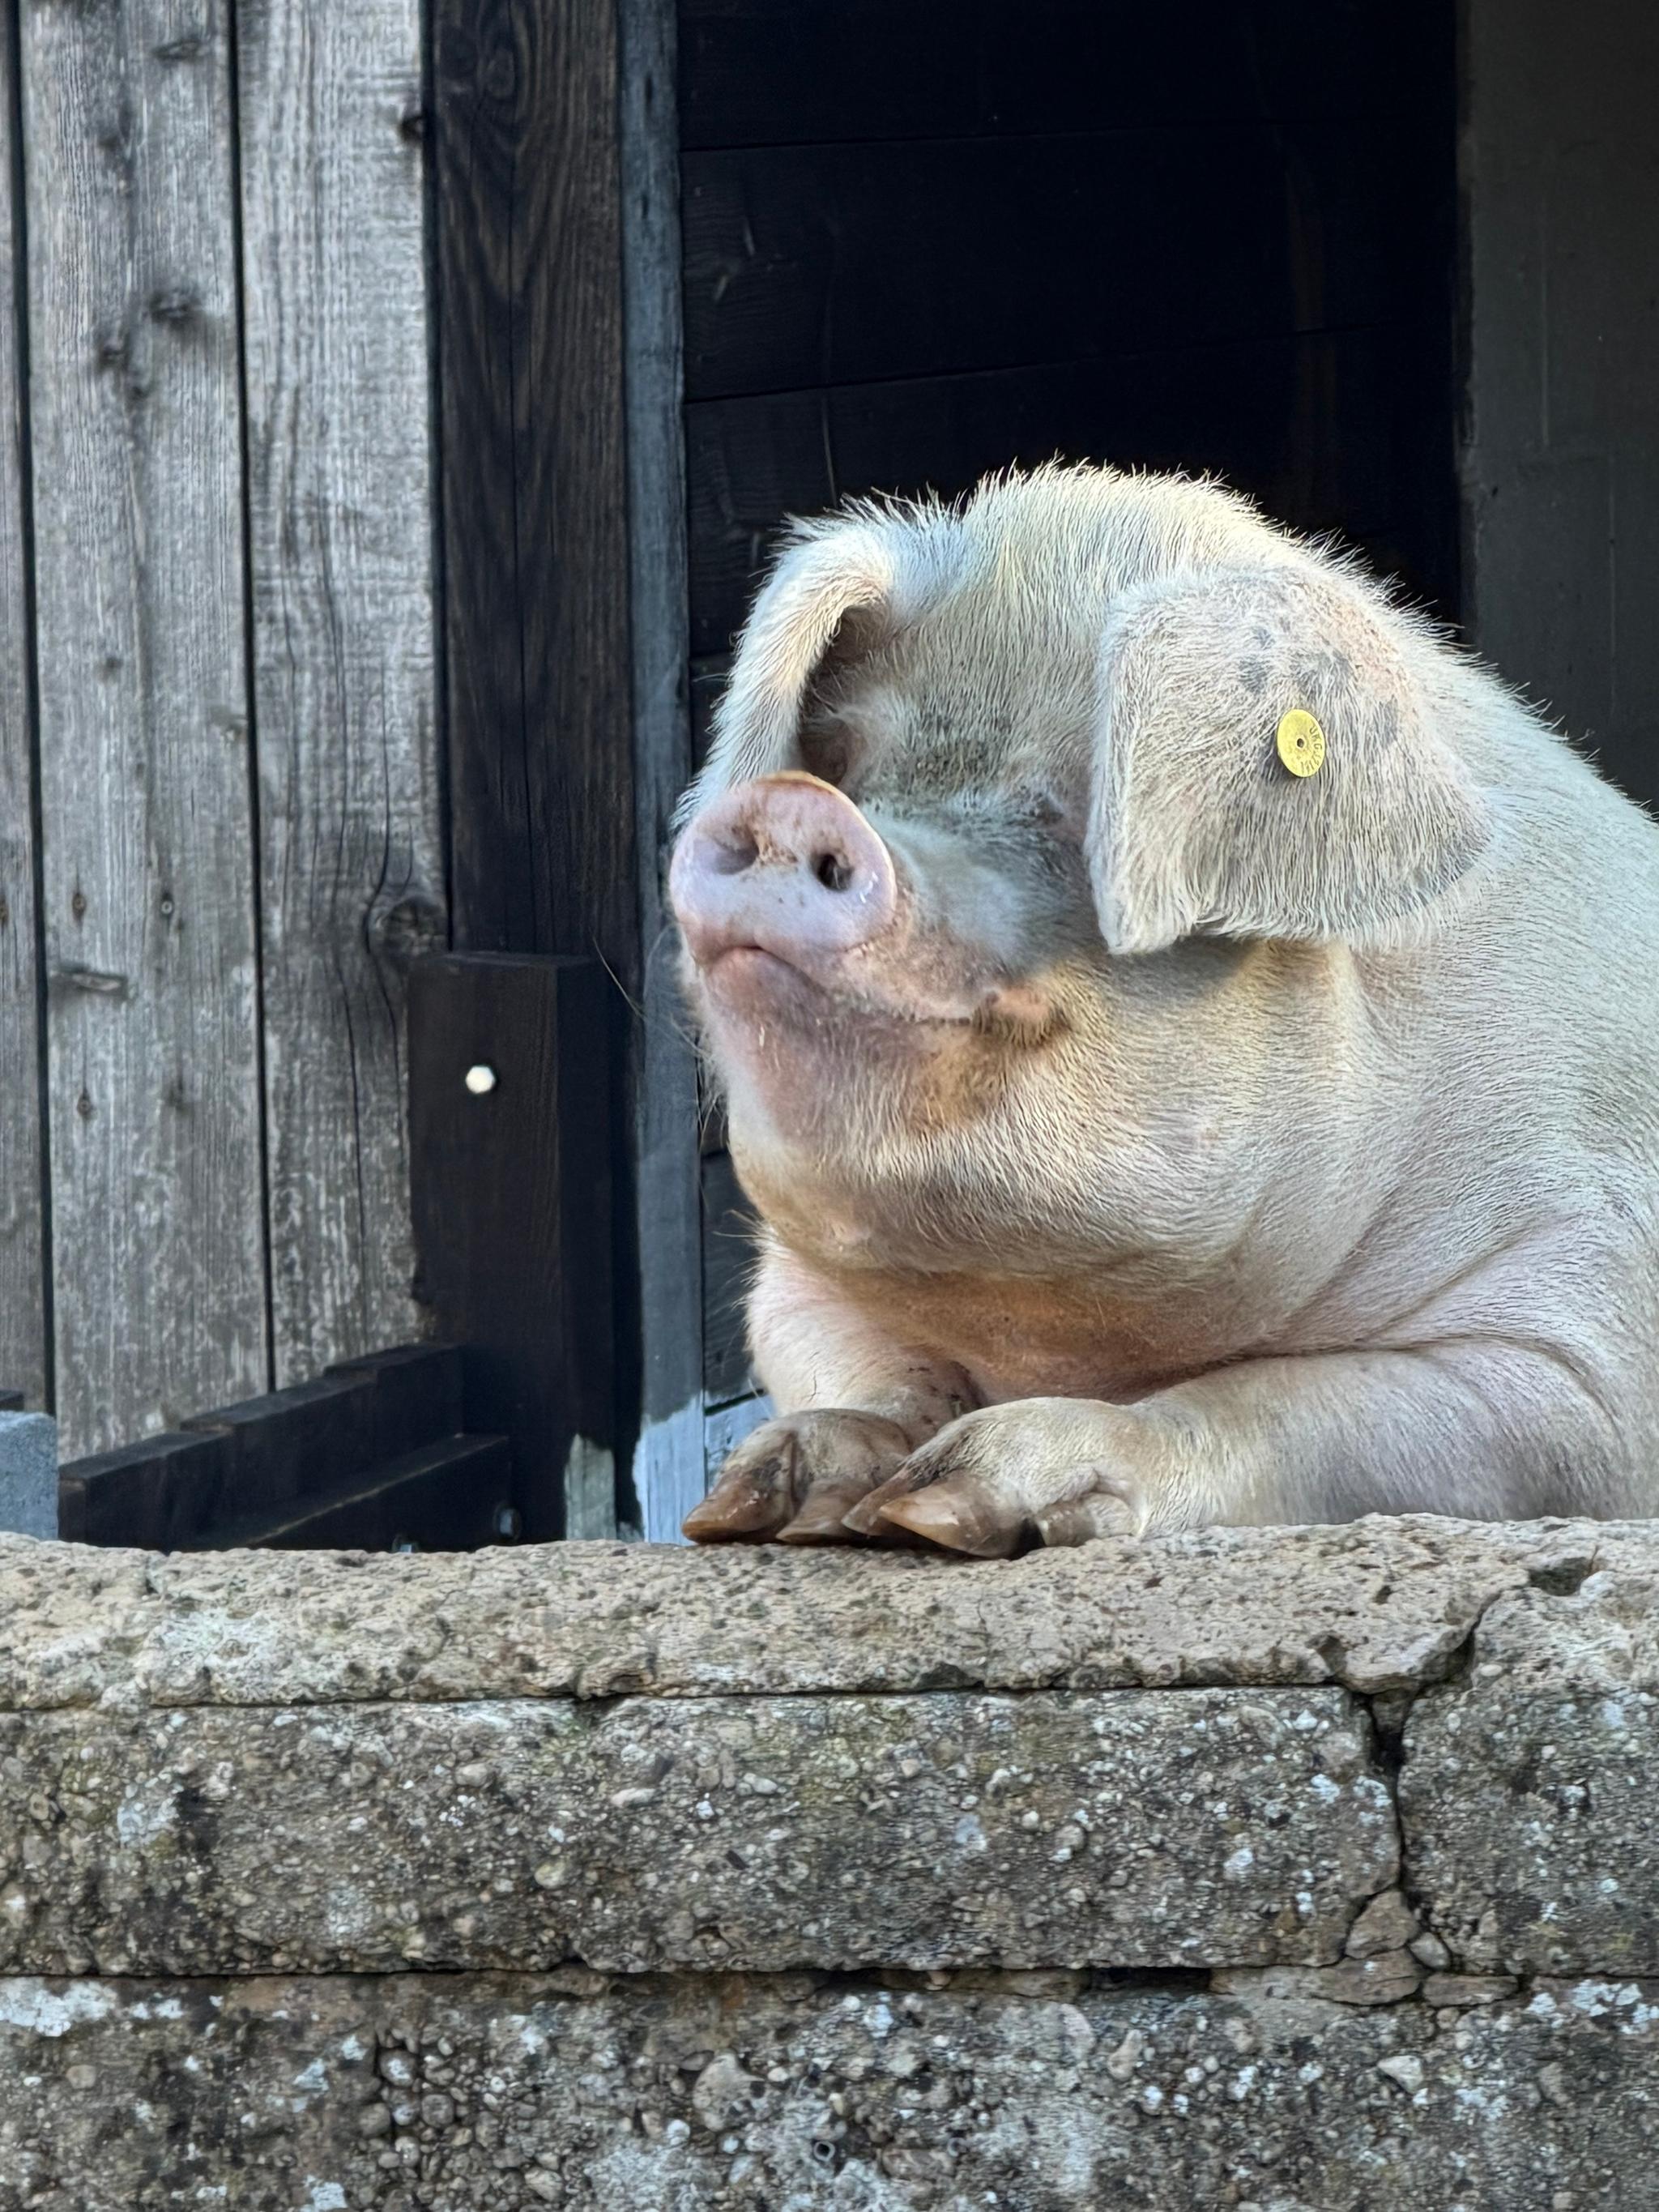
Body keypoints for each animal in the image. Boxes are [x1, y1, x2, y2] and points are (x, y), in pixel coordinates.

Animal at [667, 463, 1659, 1556]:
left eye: (1077, 801)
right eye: (846, 761)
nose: (792, 805)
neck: (1056, 1328)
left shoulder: (1584, 1339)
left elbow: (1285, 1402)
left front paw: (941, 1509)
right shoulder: (788, 1290)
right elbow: (870, 1367)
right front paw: (774, 1508)